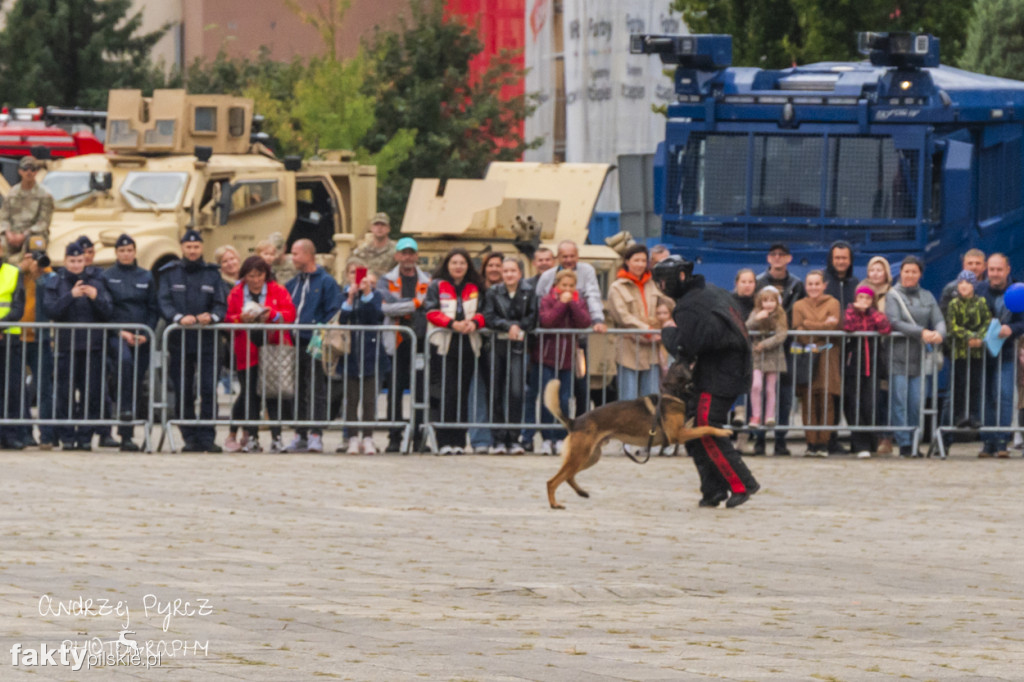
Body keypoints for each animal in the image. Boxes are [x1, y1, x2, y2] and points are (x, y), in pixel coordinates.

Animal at [540, 364, 733, 507]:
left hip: (590, 457)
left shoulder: (683, 431)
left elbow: (701, 425)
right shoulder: (678, 434)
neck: (672, 392)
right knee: (552, 481)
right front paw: (724, 431)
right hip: (580, 456)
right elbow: (707, 428)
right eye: (692, 366)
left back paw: (581, 492)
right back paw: (554, 504)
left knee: (568, 476)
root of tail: (574, 421)